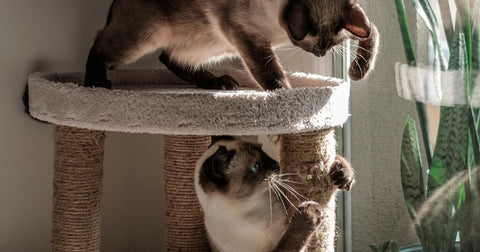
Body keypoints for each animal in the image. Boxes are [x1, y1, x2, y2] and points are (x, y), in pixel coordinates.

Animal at [85, 0, 378, 90]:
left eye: (329, 46)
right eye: (318, 46)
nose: (319, 53)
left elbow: (371, 32)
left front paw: (356, 72)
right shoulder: (246, 36)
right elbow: (271, 73)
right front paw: (287, 98)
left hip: (208, 44)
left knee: (169, 58)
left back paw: (217, 82)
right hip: (145, 36)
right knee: (98, 45)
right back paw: (95, 84)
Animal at [193, 138, 354, 252]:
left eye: (265, 154)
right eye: (256, 166)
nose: (277, 164)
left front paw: (342, 173)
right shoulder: (277, 248)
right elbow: (293, 236)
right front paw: (311, 211)